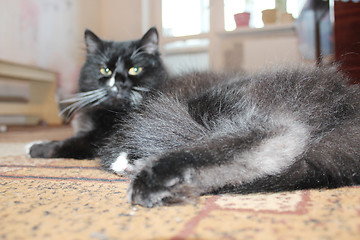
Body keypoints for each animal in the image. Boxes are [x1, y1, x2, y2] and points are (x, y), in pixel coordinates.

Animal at [27, 27, 168, 159]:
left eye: (135, 69)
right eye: (105, 70)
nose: (118, 82)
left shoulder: (98, 137)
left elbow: (67, 144)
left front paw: (36, 148)